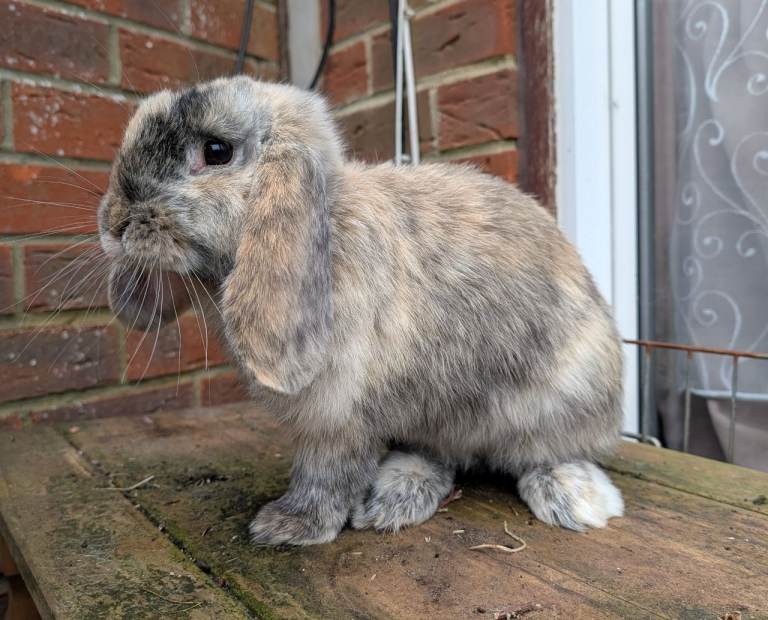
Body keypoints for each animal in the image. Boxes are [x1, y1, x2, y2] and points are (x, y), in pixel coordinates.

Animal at [98, 76, 625, 546]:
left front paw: (287, 526)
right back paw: (394, 496)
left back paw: (574, 499)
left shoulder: (335, 407)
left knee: (546, 449)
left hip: (561, 397)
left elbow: (326, 468)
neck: (331, 221)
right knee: (442, 454)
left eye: (216, 152)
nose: (113, 223)